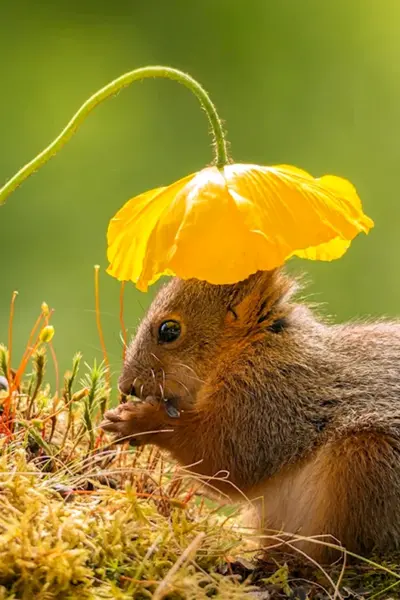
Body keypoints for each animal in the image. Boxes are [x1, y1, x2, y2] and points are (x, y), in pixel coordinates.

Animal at [101, 272, 400, 564]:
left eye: (169, 330)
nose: (126, 385)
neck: (249, 347)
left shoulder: (274, 400)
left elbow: (228, 459)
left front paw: (140, 420)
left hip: (364, 462)